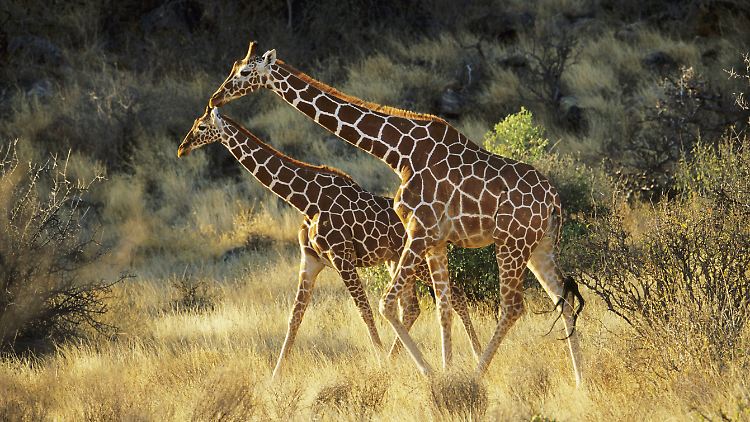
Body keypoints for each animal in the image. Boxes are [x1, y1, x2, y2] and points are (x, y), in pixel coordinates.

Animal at [177, 106, 482, 379]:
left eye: (201, 127)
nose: (182, 148)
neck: (306, 199)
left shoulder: (342, 257)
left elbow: (364, 310)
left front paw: (380, 364)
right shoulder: (311, 261)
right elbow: (294, 318)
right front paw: (275, 377)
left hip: (416, 260)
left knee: (454, 294)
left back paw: (474, 355)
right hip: (396, 260)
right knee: (412, 307)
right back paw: (404, 359)